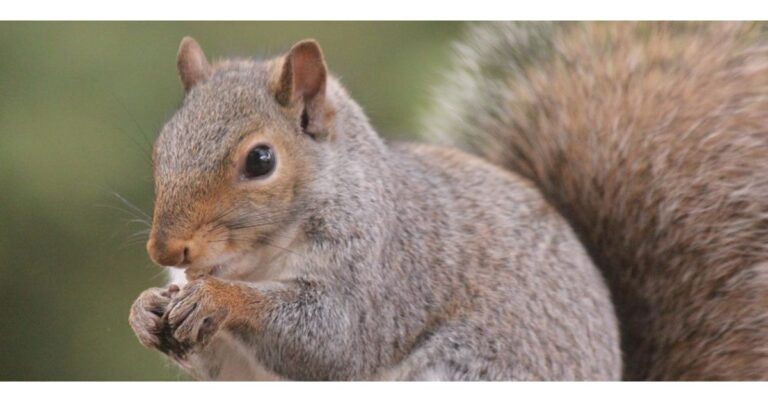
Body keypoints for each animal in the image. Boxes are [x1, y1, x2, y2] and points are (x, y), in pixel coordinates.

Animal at [127, 34, 622, 380]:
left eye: (261, 160)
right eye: (160, 148)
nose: (164, 250)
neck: (255, 261)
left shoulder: (381, 272)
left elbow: (335, 338)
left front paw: (219, 297)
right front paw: (144, 310)